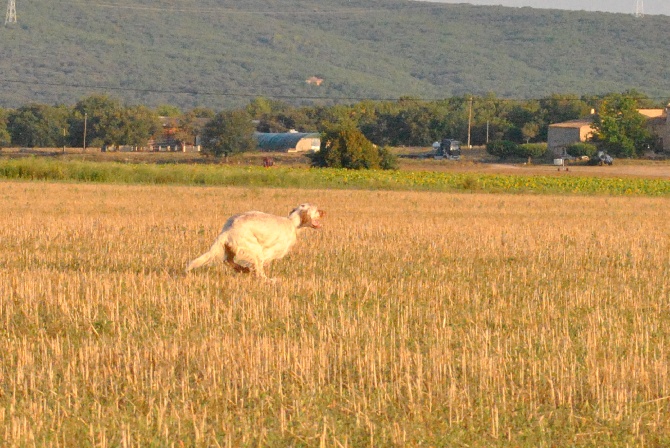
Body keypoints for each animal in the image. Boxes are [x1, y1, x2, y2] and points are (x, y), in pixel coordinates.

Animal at [186, 204, 326, 278]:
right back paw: (268, 280)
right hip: (254, 249)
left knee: (228, 261)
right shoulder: (269, 252)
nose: (324, 212)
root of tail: (228, 230)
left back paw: (242, 269)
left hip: (232, 249)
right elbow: (259, 266)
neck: (292, 222)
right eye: (316, 210)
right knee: (258, 271)